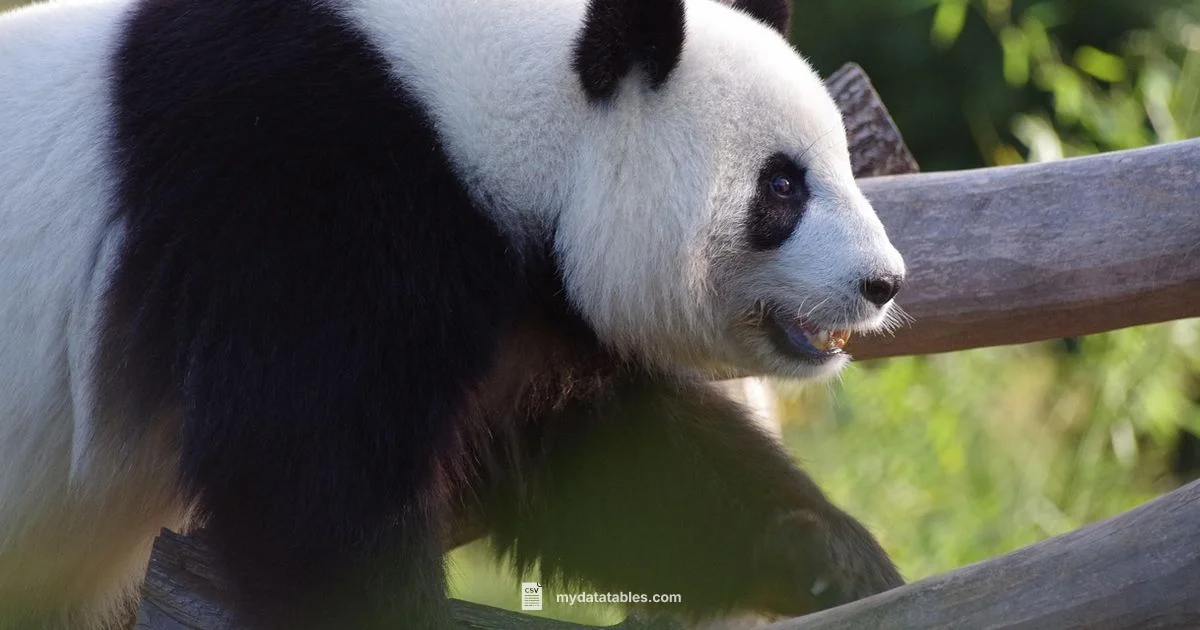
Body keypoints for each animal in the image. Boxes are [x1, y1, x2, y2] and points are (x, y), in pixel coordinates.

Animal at [0, 0, 907, 627]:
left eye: (840, 161)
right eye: (782, 185)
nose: (884, 283)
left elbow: (611, 459)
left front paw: (829, 557)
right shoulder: (303, 198)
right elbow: (307, 475)